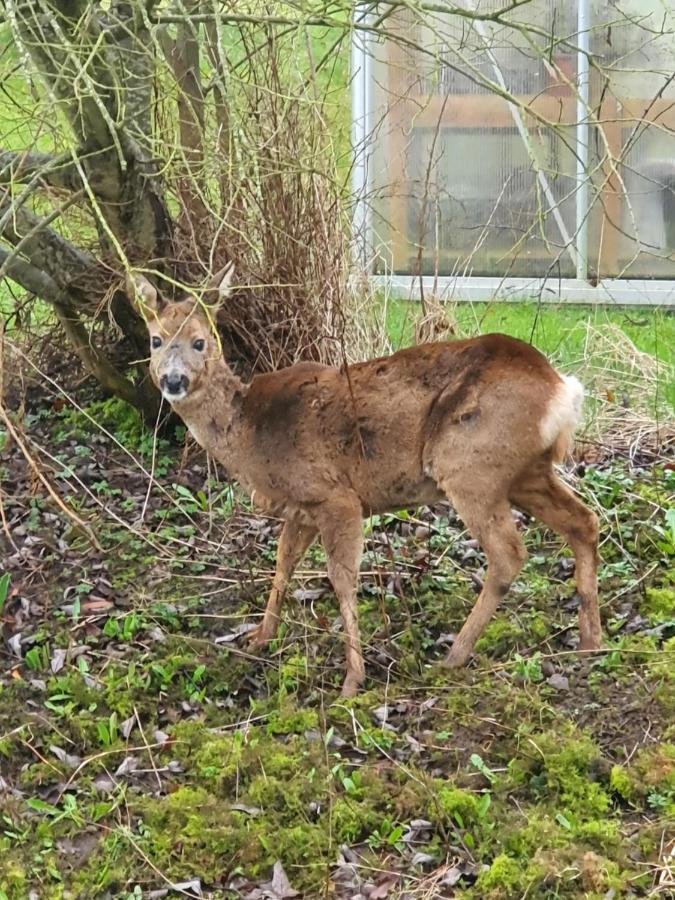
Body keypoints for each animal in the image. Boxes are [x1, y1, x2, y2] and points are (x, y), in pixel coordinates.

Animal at [127, 266, 604, 696]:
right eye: (155, 340)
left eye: (199, 341)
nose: (173, 380)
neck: (250, 433)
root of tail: (563, 390)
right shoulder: (301, 506)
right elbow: (282, 565)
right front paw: (259, 638)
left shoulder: (335, 495)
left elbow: (341, 579)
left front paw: (352, 679)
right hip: (524, 471)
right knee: (584, 521)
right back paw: (589, 642)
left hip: (470, 465)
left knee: (509, 553)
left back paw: (454, 655)